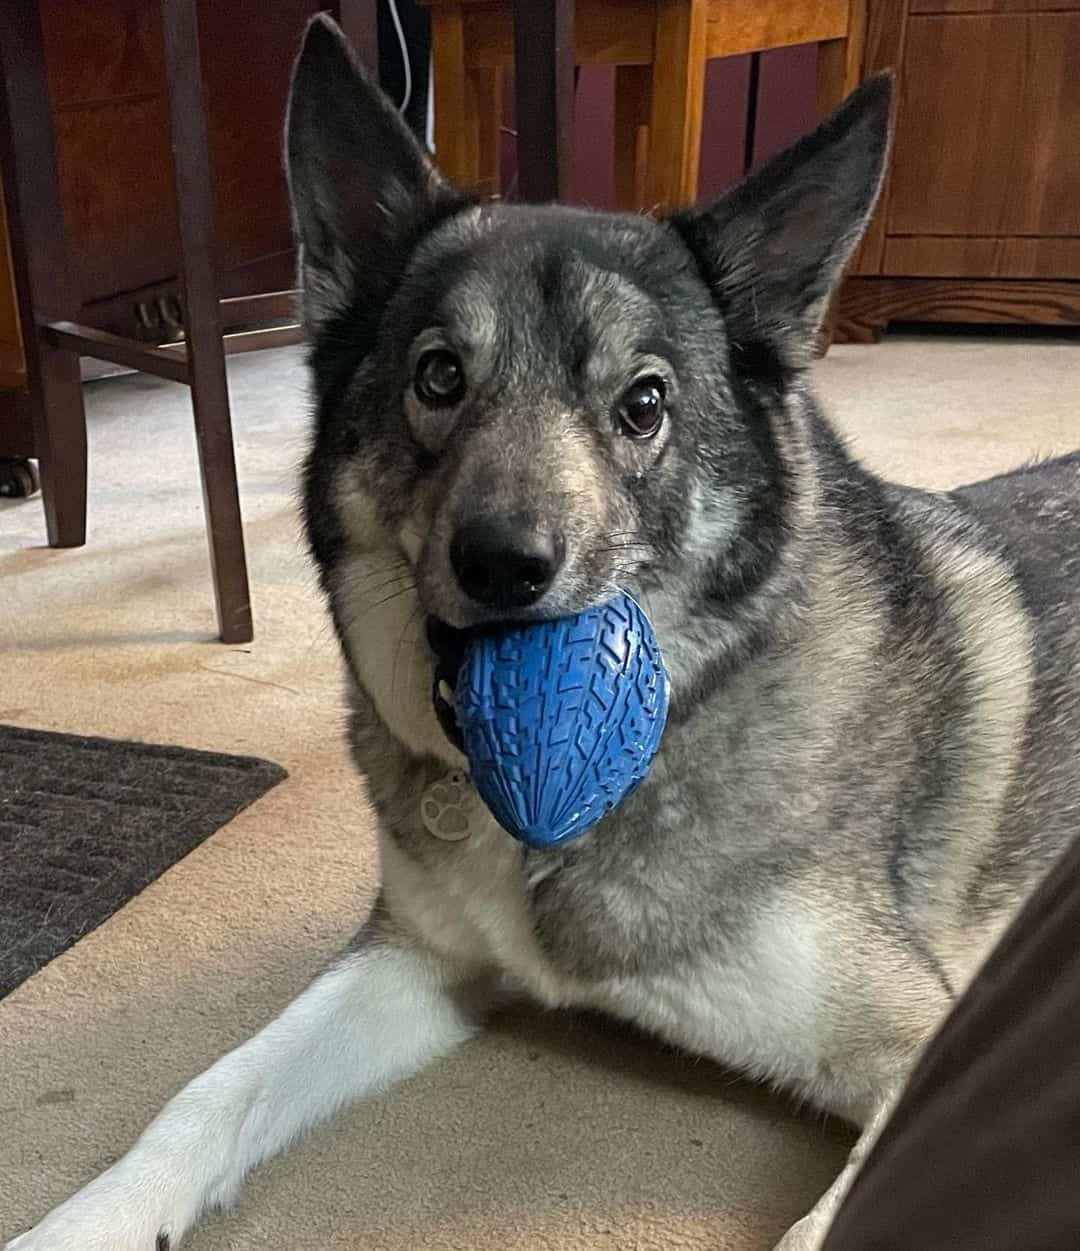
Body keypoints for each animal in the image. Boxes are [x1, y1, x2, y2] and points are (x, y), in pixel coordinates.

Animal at [10, 17, 1080, 1251]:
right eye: (438, 375)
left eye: (644, 403)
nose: (505, 566)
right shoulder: (416, 961)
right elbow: (212, 1089)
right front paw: (84, 1221)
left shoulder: (930, 1052)